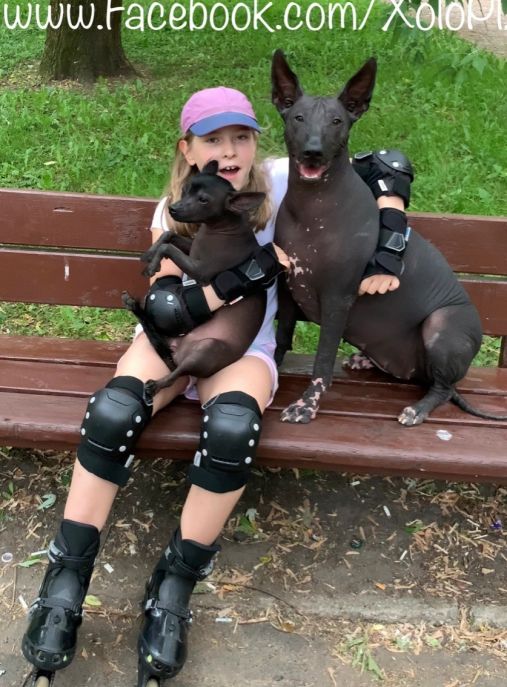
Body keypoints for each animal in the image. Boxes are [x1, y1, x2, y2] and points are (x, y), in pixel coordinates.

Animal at [123, 160, 267, 399]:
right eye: (185, 189)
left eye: (203, 200)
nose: (173, 208)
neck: (219, 229)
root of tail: (178, 352)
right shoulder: (192, 252)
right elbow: (168, 236)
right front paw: (150, 255)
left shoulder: (201, 270)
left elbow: (168, 247)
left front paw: (153, 264)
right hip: (166, 342)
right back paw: (133, 304)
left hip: (207, 350)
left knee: (178, 373)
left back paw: (156, 385)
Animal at [271, 49, 505, 425]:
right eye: (298, 117)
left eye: (337, 121)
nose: (313, 151)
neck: (312, 208)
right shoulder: (289, 289)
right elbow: (281, 337)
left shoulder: (337, 299)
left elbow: (322, 361)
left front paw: (307, 405)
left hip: (442, 327)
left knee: (443, 388)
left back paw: (418, 408)